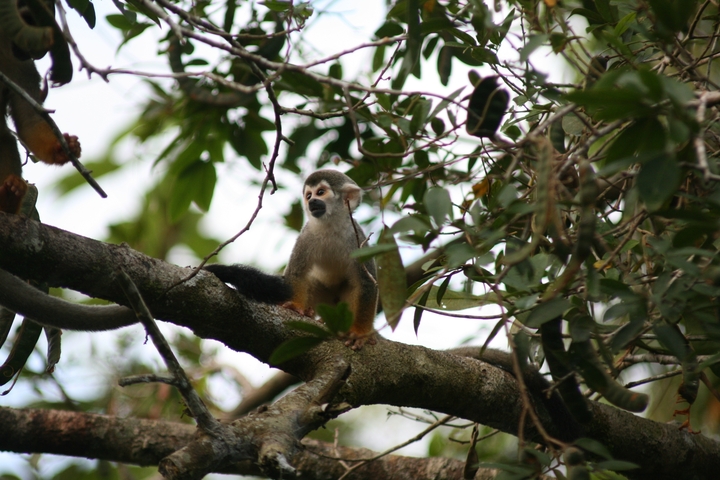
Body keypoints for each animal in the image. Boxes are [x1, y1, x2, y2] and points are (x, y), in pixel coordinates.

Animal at [205, 170, 379, 350]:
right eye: (309, 195)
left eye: (320, 192)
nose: (312, 201)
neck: (330, 226)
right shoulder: (307, 235)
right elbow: (297, 272)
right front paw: (296, 306)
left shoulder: (357, 238)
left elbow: (366, 283)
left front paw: (360, 333)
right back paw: (309, 312)